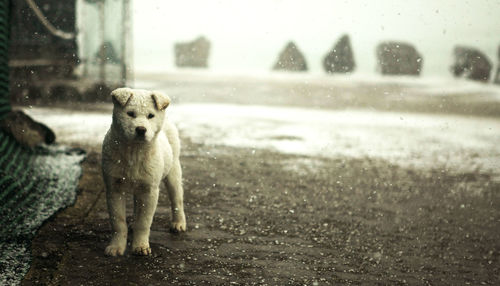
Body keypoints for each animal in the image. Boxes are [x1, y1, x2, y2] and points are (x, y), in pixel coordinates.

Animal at [101, 87, 186, 256]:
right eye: (130, 113)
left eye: (151, 116)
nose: (141, 129)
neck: (134, 152)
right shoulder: (114, 188)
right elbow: (118, 222)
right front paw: (116, 247)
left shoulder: (150, 190)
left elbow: (144, 221)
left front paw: (140, 246)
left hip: (173, 171)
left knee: (177, 199)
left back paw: (178, 223)